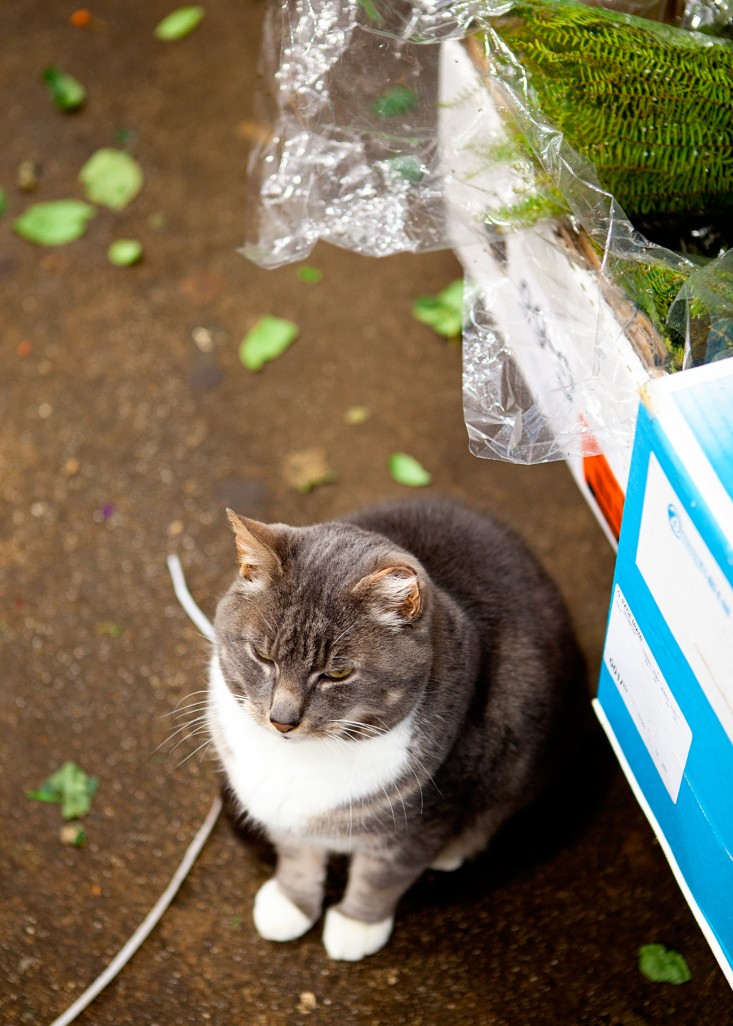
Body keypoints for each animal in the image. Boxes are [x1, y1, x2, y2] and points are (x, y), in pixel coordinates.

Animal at [207, 496, 587, 960]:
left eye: (337, 674)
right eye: (262, 656)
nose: (283, 719)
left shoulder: (422, 820)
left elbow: (381, 878)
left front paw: (356, 925)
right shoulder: (284, 817)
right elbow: (296, 855)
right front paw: (291, 904)